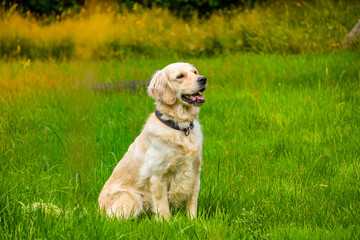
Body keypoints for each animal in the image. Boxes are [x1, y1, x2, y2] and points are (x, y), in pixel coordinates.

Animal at [97, 62, 208, 219]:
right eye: (180, 76)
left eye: (195, 72)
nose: (203, 79)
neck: (180, 127)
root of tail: (97, 210)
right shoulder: (158, 177)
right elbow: (163, 207)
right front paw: (167, 223)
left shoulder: (195, 172)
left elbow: (192, 204)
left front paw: (193, 221)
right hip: (132, 198)